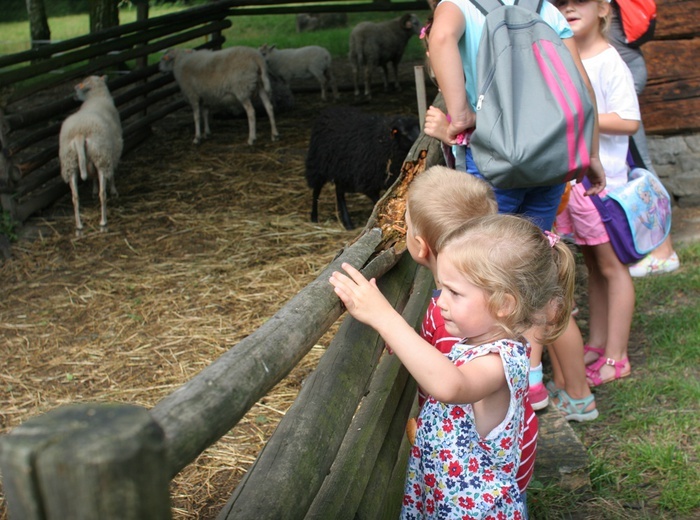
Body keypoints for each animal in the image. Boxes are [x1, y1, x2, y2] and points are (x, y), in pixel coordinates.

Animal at [58, 74, 123, 234]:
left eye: (82, 85)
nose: (74, 89)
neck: (97, 96)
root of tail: (80, 133)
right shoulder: (112, 152)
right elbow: (112, 174)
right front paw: (114, 190)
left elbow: (92, 177)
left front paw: (92, 190)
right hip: (101, 156)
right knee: (102, 194)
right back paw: (103, 221)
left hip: (70, 163)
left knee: (75, 197)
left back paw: (79, 225)